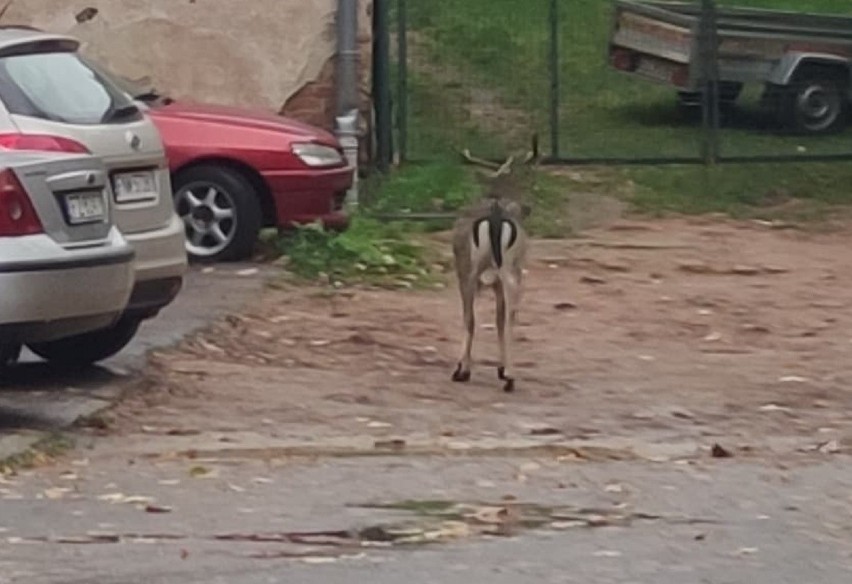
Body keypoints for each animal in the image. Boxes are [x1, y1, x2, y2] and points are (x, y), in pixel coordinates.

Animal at [452, 163, 524, 392]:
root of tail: (495, 215)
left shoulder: (463, 271)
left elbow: (469, 317)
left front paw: (462, 369)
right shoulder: (497, 284)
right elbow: (499, 319)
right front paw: (500, 369)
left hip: (472, 269)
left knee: (470, 317)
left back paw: (464, 370)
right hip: (512, 268)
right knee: (511, 312)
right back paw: (510, 376)